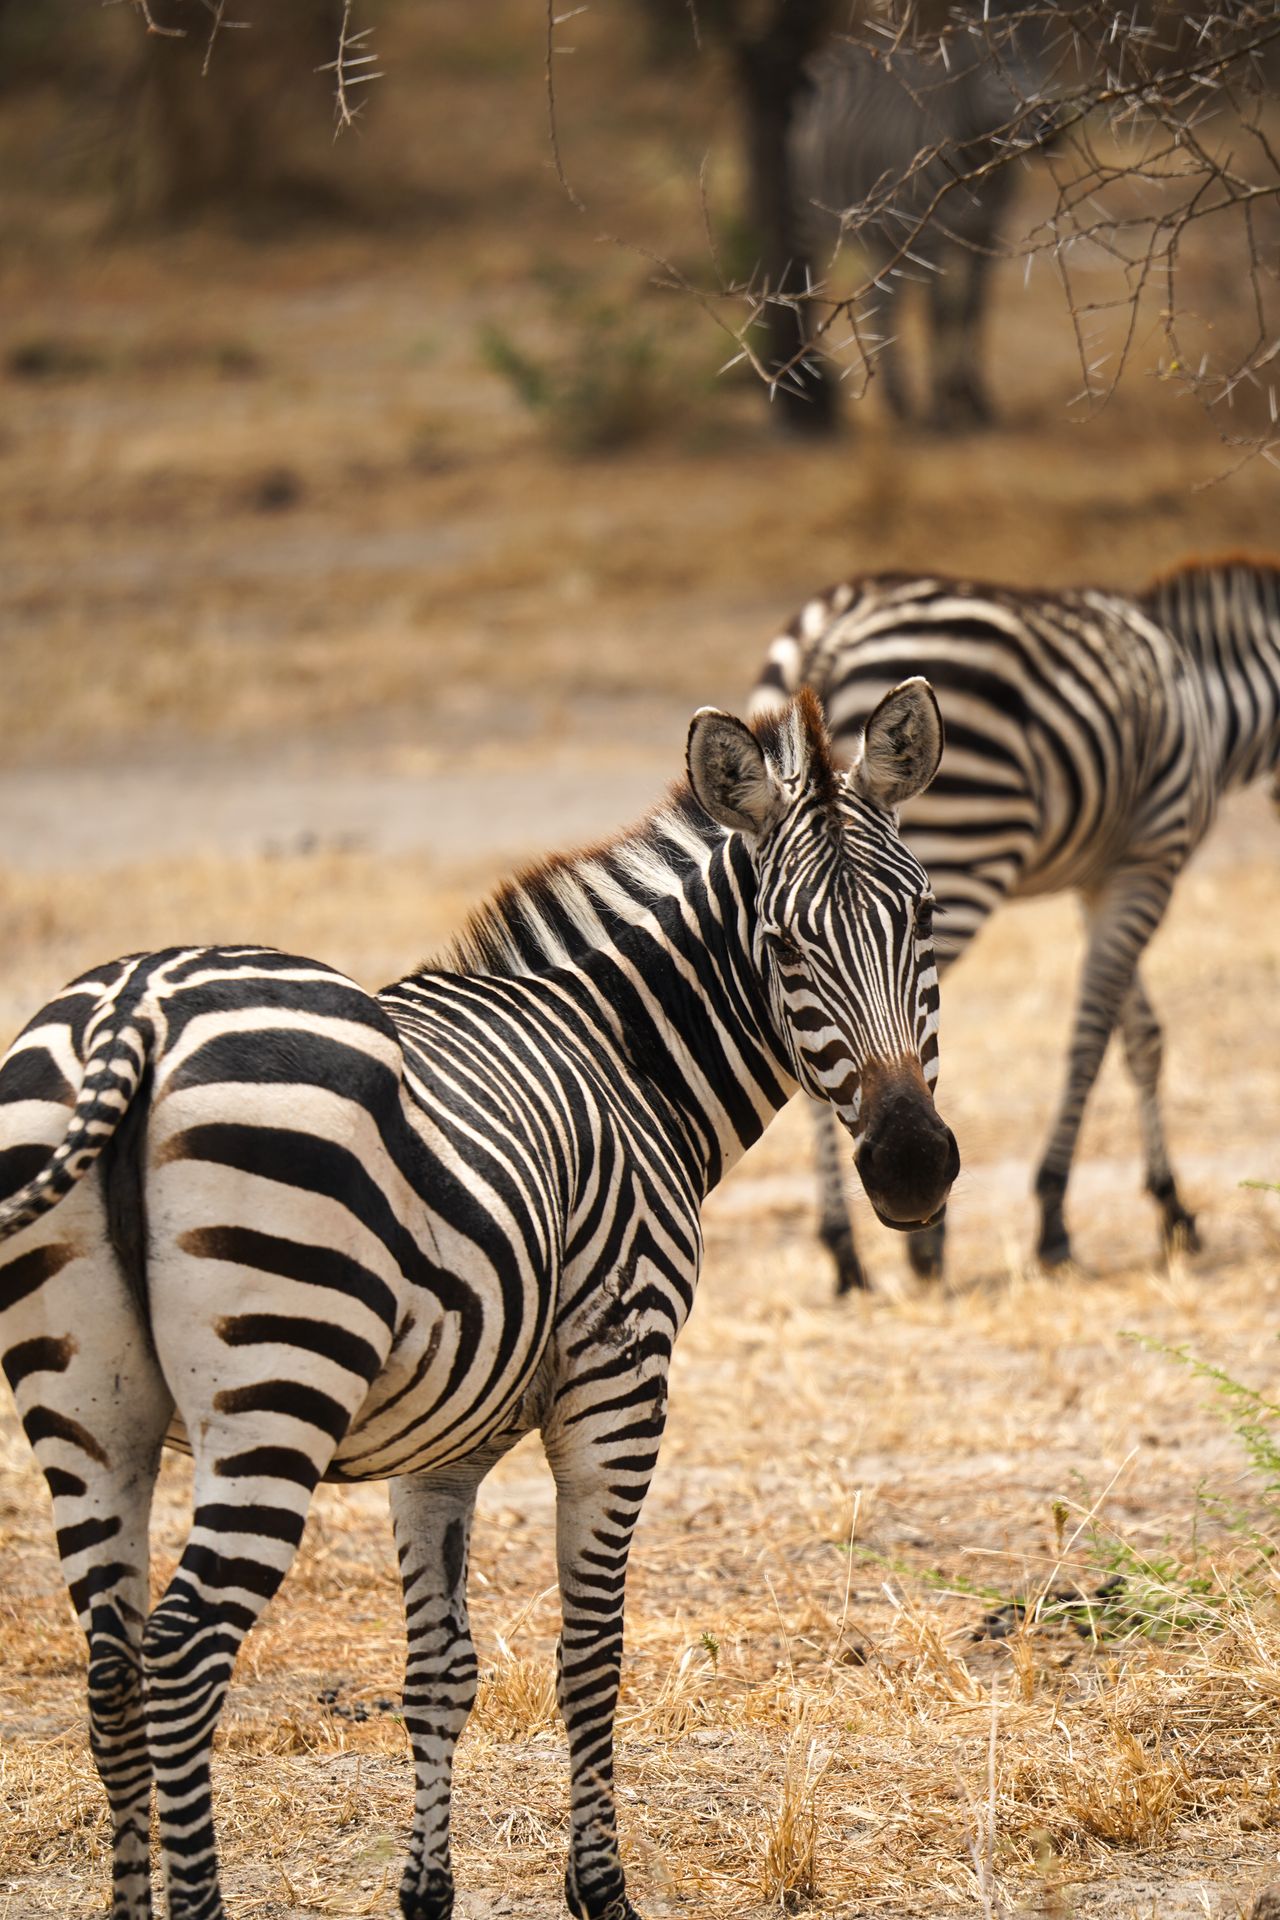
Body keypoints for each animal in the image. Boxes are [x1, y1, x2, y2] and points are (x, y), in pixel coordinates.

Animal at [0, 687, 957, 1920]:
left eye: (923, 918)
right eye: (785, 945)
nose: (913, 1167)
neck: (619, 1053)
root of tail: (137, 1005)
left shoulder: (436, 1447)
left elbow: (438, 1669)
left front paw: (426, 1891)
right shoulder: (618, 1379)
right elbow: (589, 1653)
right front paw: (599, 1891)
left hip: (87, 1413)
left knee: (113, 1670)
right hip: (275, 1390)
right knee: (179, 1654)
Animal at [751, 558, 1280, 1291]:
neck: (1212, 696)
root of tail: (826, 634)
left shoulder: (1100, 878)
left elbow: (1140, 1035)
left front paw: (1172, 1207)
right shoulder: (1149, 861)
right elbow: (1091, 1035)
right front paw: (1055, 1216)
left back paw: (846, 1250)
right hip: (959, 850)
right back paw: (917, 1241)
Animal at [789, 9, 1056, 430]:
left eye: (1046, 64)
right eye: (998, 70)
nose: (1050, 131)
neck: (980, 161)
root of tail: (829, 54)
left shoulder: (987, 233)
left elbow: (972, 310)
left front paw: (975, 397)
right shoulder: (931, 235)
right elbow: (939, 315)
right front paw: (941, 407)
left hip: (885, 235)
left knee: (881, 303)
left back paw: (896, 398)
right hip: (809, 218)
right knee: (810, 290)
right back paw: (815, 383)